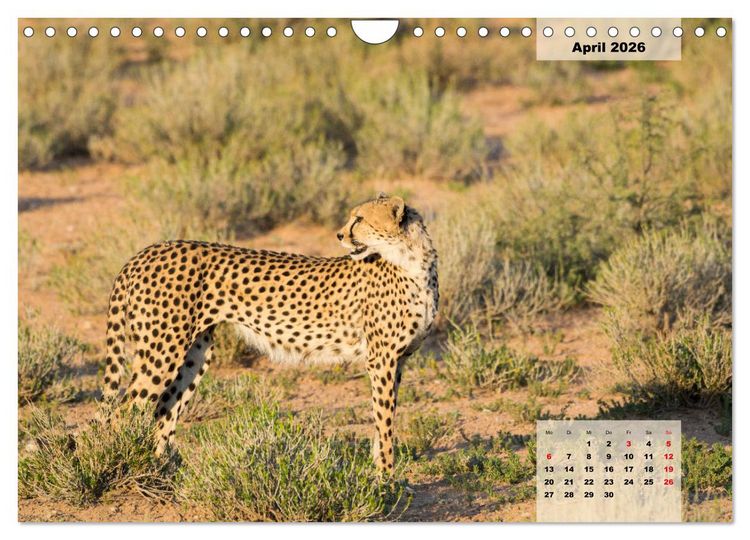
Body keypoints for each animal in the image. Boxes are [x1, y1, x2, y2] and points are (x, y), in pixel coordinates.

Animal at [102, 193, 438, 473]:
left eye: (360, 219)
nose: (340, 234)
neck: (412, 262)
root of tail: (149, 250)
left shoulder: (397, 361)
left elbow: (382, 419)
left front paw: (380, 471)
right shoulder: (381, 360)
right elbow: (385, 422)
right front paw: (386, 478)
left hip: (194, 355)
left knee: (163, 409)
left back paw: (163, 473)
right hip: (163, 350)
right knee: (123, 412)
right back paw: (123, 466)